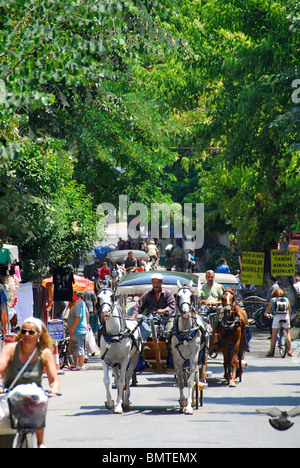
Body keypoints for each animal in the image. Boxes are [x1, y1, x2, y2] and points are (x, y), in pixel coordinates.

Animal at [97, 286, 142, 414]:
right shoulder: (105, 359)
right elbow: (107, 380)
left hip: (133, 359)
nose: (105, 312)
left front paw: (118, 406)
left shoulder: (125, 359)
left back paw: (125, 401)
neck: (114, 335)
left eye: (112, 297)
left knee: (127, 375)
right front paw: (110, 402)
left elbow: (122, 381)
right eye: (99, 297)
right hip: (115, 363)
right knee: (117, 377)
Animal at [169, 282, 204, 414]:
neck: (185, 332)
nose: (185, 312)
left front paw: (189, 405)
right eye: (178, 296)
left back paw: (194, 401)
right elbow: (180, 381)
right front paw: (183, 402)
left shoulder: (194, 357)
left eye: (191, 296)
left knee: (193, 378)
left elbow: (190, 381)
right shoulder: (177, 359)